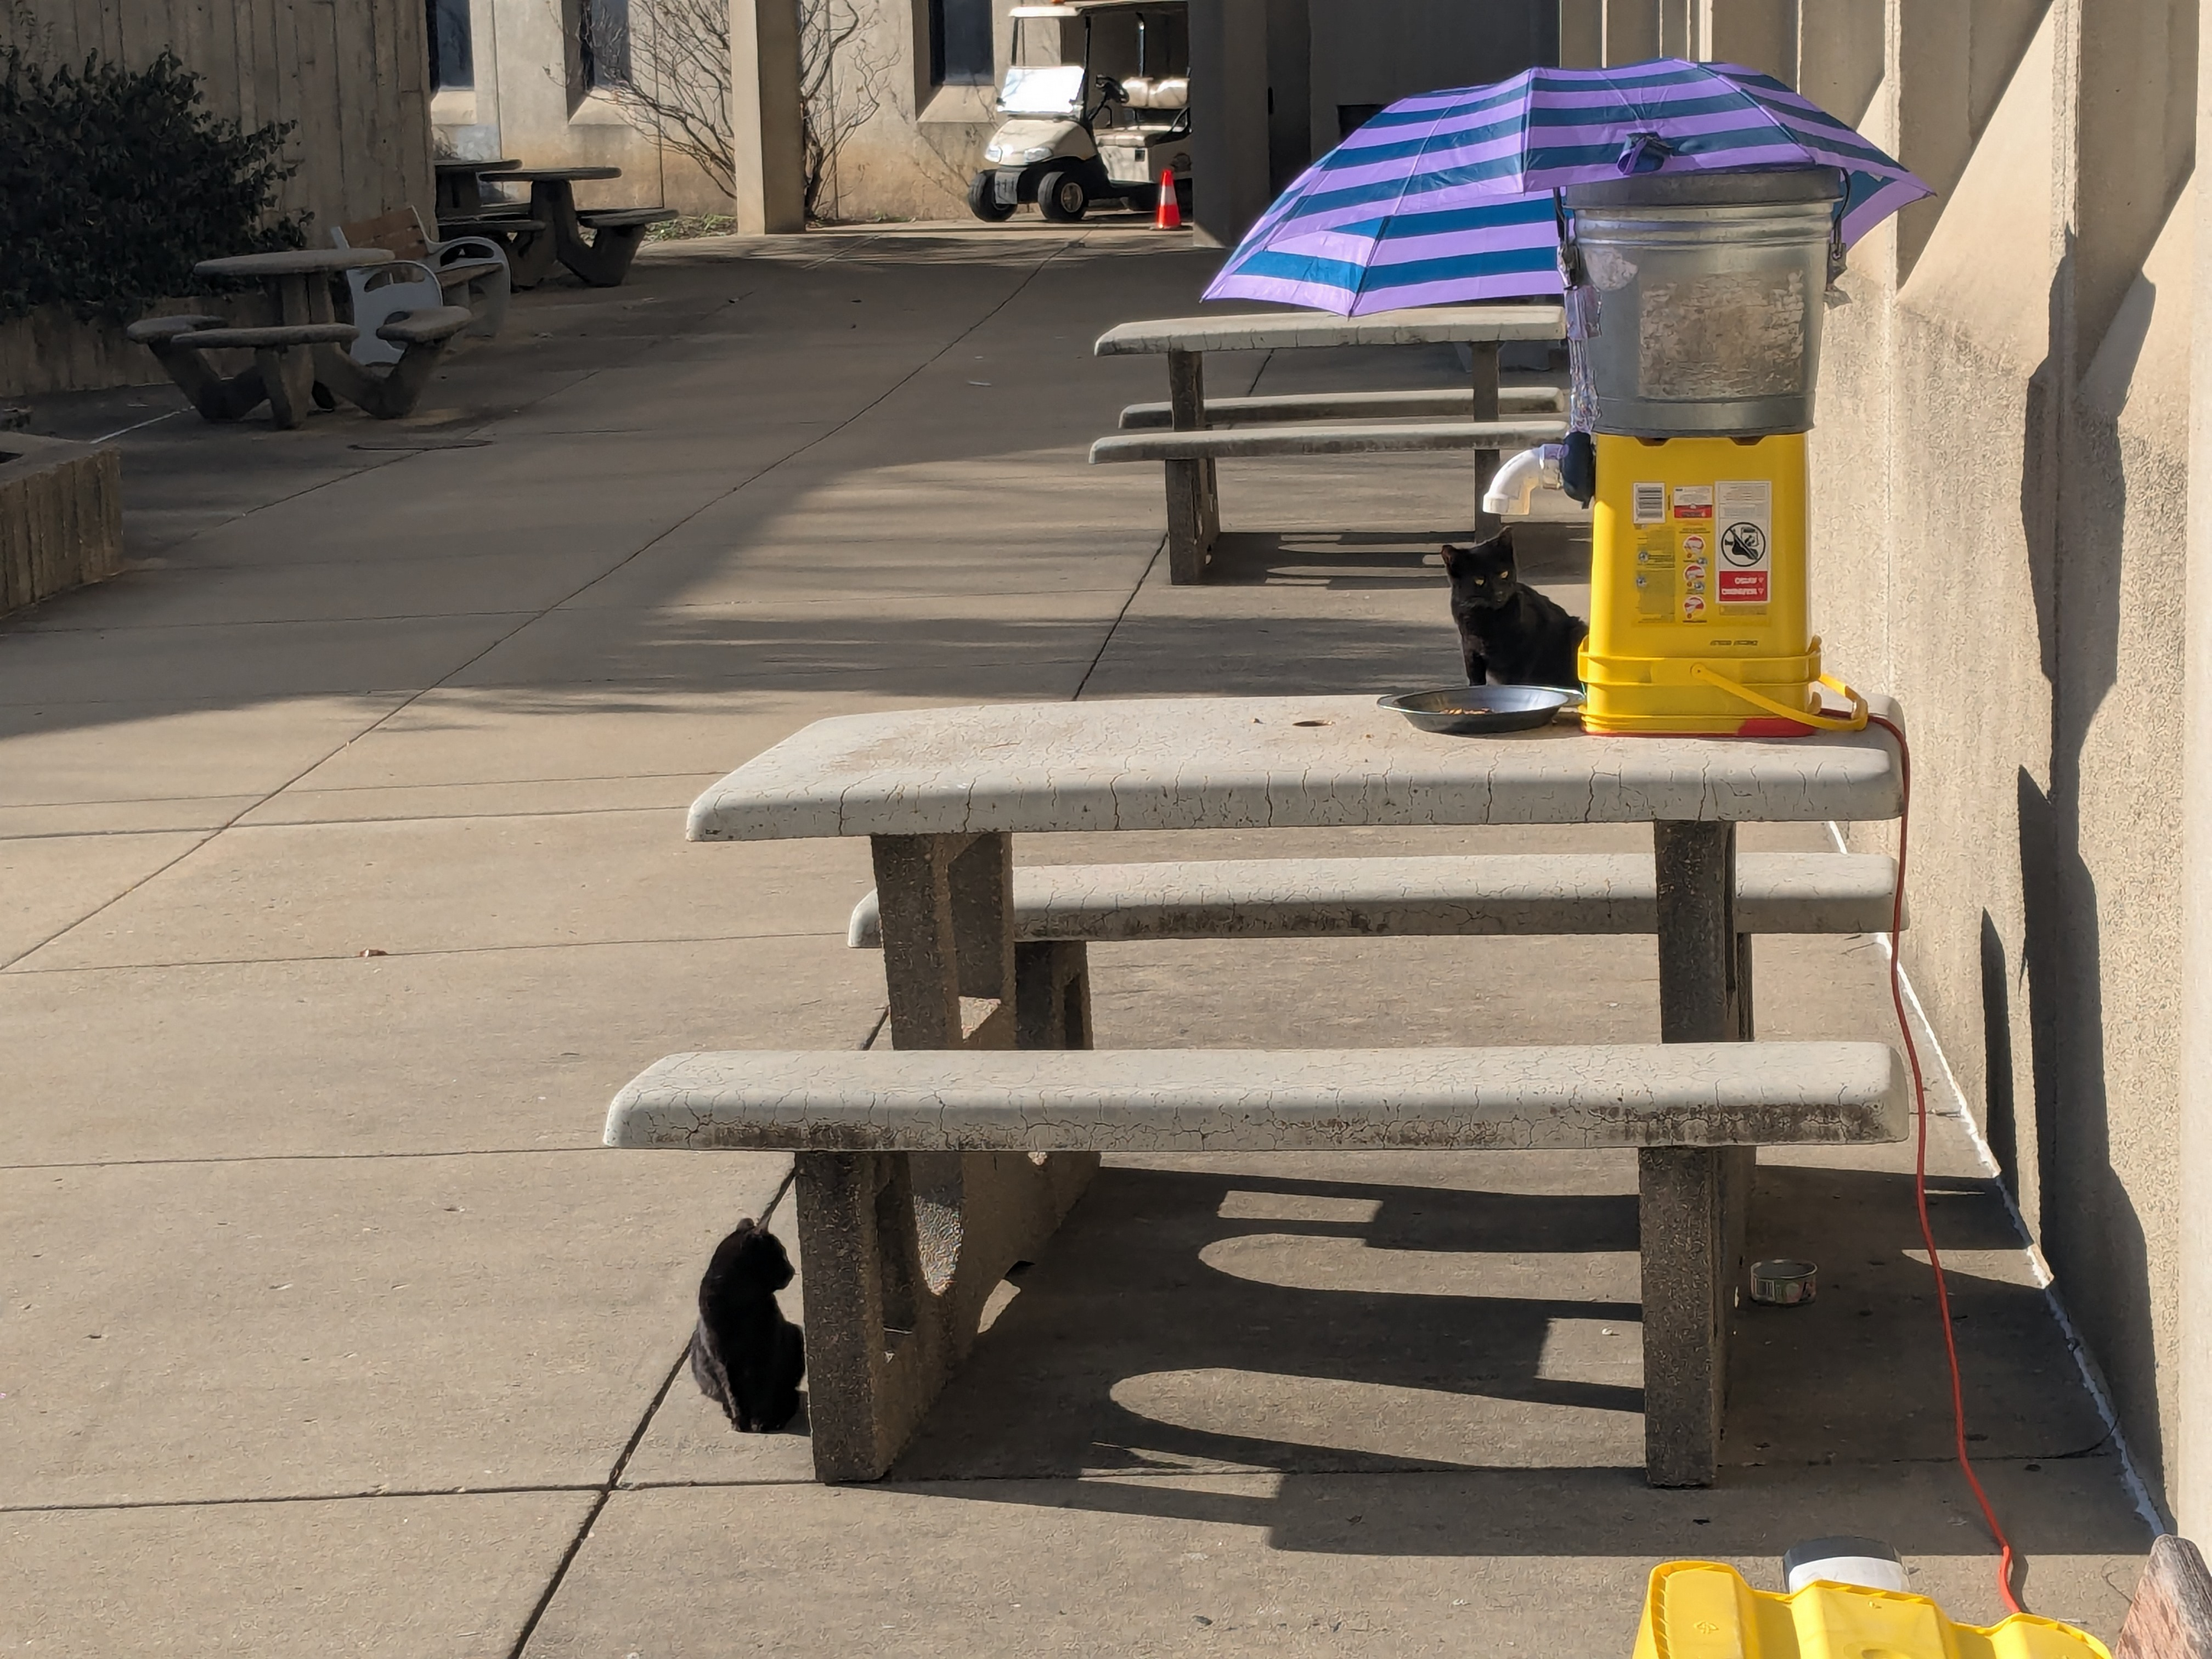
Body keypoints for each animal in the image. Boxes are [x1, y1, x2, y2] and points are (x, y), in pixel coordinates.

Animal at [685, 1212, 809, 1433]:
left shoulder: (768, 1351)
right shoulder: (723, 1360)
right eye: (782, 1254)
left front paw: (761, 1421)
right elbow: (734, 1394)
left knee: (790, 1394)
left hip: (795, 1338)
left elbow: (764, 1391)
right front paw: (740, 1421)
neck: (741, 1301)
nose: (792, 1270)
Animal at [1433, 528, 1593, 690]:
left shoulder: (1523, 655)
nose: (1500, 593)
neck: (1489, 618)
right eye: (1479, 580)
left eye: (1504, 574)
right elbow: (1476, 681)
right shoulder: (1470, 651)